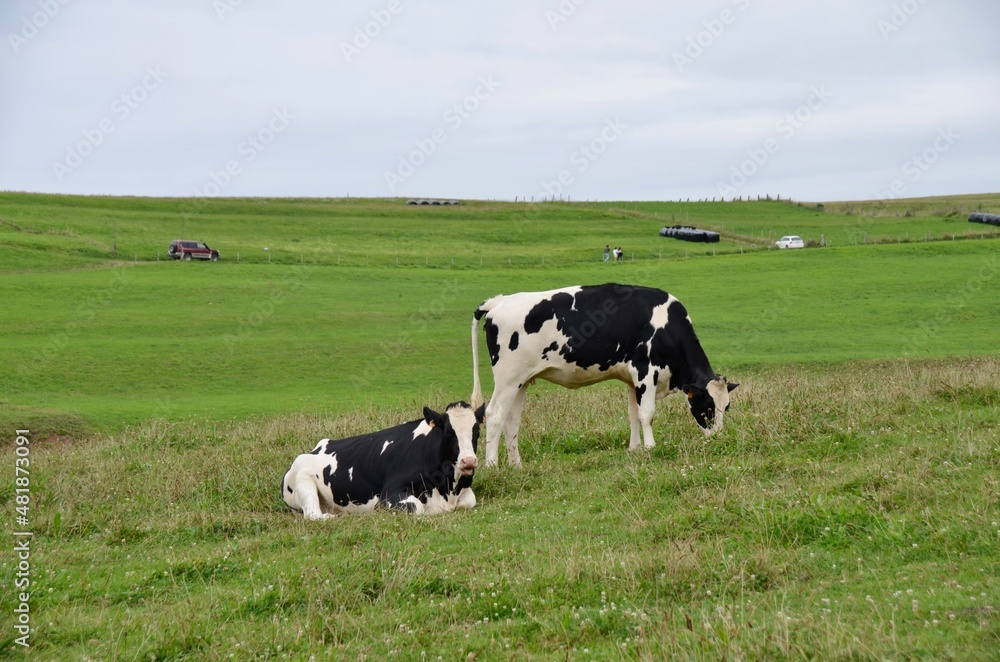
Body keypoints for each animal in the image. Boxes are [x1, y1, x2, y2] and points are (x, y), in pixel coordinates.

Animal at [282, 402, 484, 520]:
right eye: (449, 432)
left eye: (477, 432)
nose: (468, 461)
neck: (447, 489)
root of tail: (316, 448)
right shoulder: (390, 493)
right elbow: (417, 506)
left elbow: (470, 501)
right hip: (303, 481)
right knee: (313, 514)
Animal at [468, 284, 736, 466]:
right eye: (708, 407)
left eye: (727, 407)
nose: (718, 438)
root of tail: (498, 302)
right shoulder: (645, 370)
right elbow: (647, 414)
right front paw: (650, 448)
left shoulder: (631, 379)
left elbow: (633, 414)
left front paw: (635, 449)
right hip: (508, 379)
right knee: (494, 415)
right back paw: (493, 465)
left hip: (521, 381)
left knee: (511, 420)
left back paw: (517, 465)